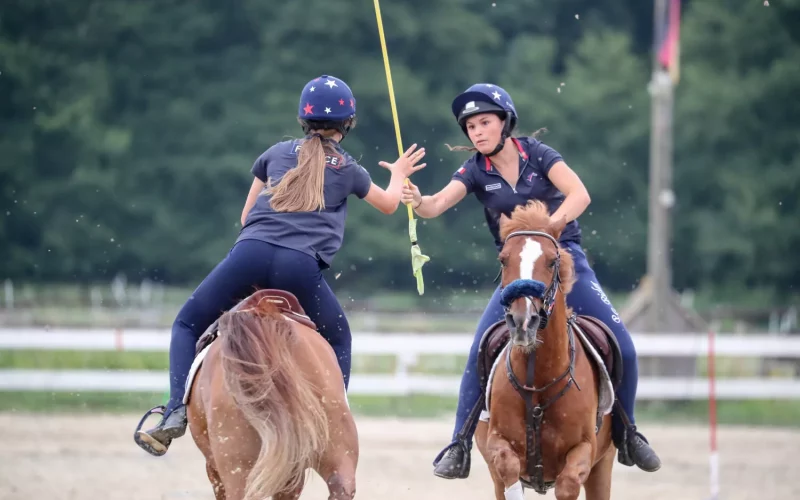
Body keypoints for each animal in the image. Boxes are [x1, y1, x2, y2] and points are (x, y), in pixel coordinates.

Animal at [476, 202, 620, 500]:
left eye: (552, 261)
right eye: (503, 260)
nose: (523, 321)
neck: (537, 381)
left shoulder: (584, 451)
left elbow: (568, 484)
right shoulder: (496, 443)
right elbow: (506, 465)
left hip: (603, 466)